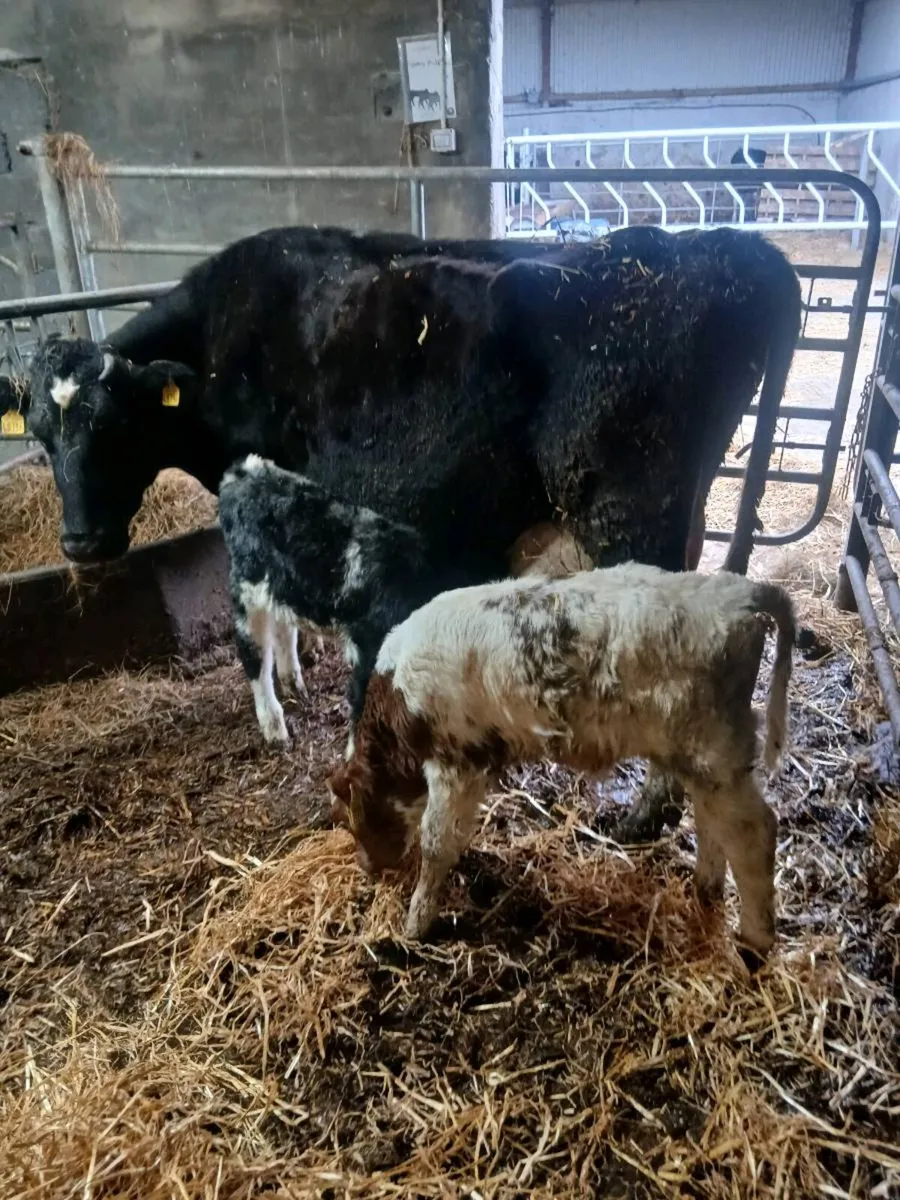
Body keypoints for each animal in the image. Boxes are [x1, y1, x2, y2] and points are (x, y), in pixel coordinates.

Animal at [19, 223, 800, 841]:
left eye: (114, 425)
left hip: (633, 518)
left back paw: (647, 814)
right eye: (38, 430)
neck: (221, 338)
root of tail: (734, 248)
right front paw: (301, 671)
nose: (82, 544)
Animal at [329, 563, 795, 966]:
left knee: (755, 831)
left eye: (351, 818)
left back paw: (754, 943)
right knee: (712, 821)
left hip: (715, 750)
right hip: (700, 759)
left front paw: (415, 924)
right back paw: (706, 890)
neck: (399, 698)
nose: (367, 868)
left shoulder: (454, 763)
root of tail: (740, 592)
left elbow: (435, 841)